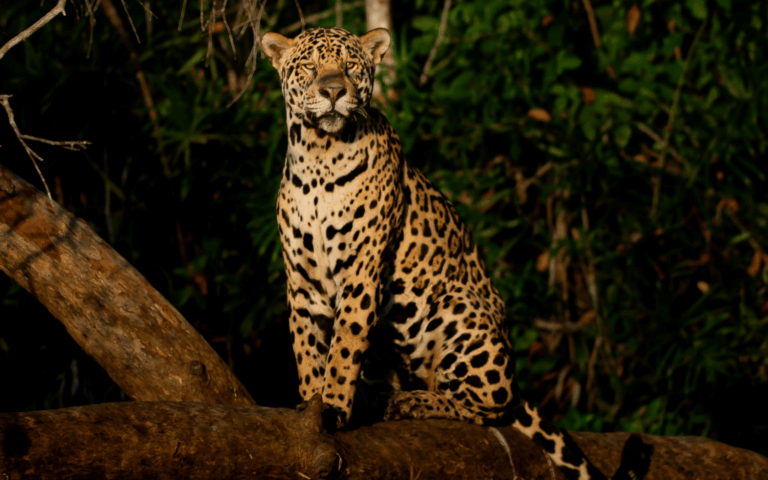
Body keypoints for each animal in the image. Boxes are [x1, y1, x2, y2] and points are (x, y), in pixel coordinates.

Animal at [261, 26, 630, 480]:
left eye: (350, 67)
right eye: (311, 67)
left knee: (491, 410)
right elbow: (307, 350)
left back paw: (413, 402)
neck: (318, 157)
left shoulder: (361, 274)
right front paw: (312, 403)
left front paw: (331, 408)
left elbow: (344, 346)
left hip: (457, 309)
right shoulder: (304, 284)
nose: (333, 91)